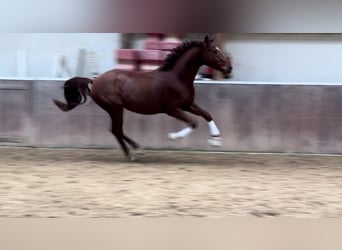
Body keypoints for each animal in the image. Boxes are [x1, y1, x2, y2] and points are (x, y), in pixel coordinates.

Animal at [52, 35, 232, 159]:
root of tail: (94, 80)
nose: (229, 68)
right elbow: (193, 122)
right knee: (116, 130)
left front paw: (215, 140)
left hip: (114, 109)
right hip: (115, 108)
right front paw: (173, 137)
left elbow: (207, 114)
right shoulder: (172, 109)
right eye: (213, 51)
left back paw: (134, 150)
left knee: (115, 130)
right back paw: (134, 151)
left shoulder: (187, 104)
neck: (176, 77)